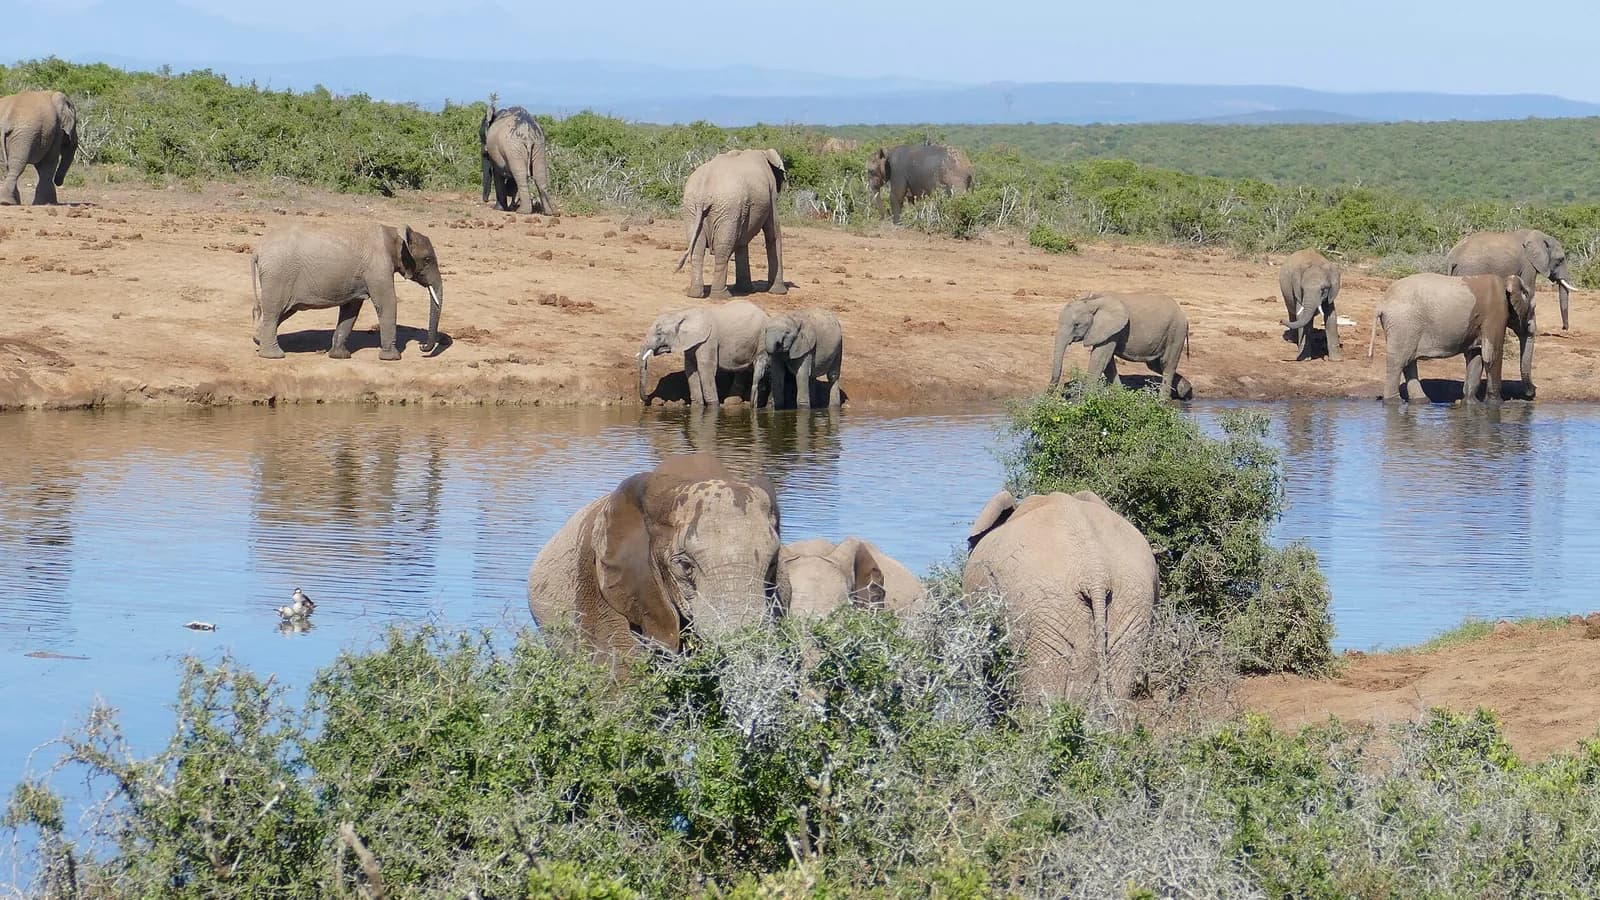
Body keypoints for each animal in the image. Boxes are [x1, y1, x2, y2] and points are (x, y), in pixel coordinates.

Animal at [251, 222, 443, 360]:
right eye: (428, 260)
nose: (422, 347)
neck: (394, 233)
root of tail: (257, 250)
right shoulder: (378, 268)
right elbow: (387, 303)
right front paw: (393, 358)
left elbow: (351, 309)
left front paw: (340, 356)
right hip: (278, 276)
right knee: (274, 312)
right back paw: (274, 355)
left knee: (282, 311)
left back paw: (258, 341)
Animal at [639, 300, 770, 406]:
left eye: (659, 333)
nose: (647, 400)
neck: (682, 313)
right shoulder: (691, 342)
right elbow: (690, 369)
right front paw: (698, 405)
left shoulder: (709, 340)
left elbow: (705, 368)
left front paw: (713, 406)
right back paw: (732, 401)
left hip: (762, 338)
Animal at [676, 149, 788, 299]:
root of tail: (704, 188)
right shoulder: (771, 195)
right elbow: (773, 233)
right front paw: (779, 292)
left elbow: (742, 241)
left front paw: (745, 290)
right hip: (727, 208)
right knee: (722, 249)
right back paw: (722, 296)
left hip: (692, 208)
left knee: (697, 249)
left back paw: (694, 294)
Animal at [1050, 293, 1193, 400]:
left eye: (1077, 325)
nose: (1049, 395)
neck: (1092, 301)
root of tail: (1183, 314)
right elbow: (1107, 362)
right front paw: (1120, 395)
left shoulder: (1112, 329)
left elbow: (1100, 358)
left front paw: (1086, 398)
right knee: (1156, 365)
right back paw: (1185, 391)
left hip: (1176, 332)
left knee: (1167, 364)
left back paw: (1163, 401)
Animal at [1368, 272, 1534, 405]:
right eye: (1533, 309)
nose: (1531, 393)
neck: (1506, 280)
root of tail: (1382, 303)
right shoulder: (1495, 313)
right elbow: (1491, 355)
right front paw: (1496, 404)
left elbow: (1475, 355)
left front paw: (1471, 404)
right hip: (1403, 323)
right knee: (1398, 362)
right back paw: (1394, 402)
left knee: (1409, 361)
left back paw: (1421, 401)